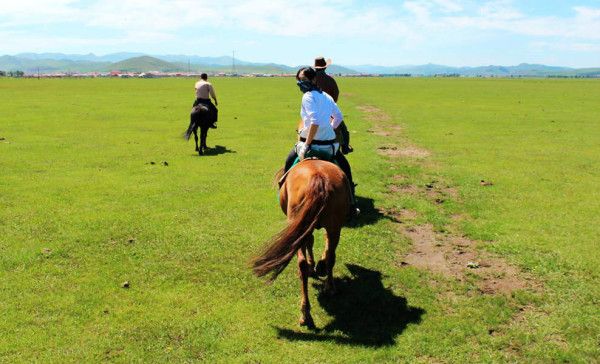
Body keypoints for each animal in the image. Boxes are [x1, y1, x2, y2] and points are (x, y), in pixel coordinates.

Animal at [252, 159, 352, 328]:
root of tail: (319, 178)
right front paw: (319, 265)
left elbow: (309, 244)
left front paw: (315, 265)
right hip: (334, 226)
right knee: (331, 256)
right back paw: (329, 287)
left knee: (302, 265)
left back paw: (305, 313)